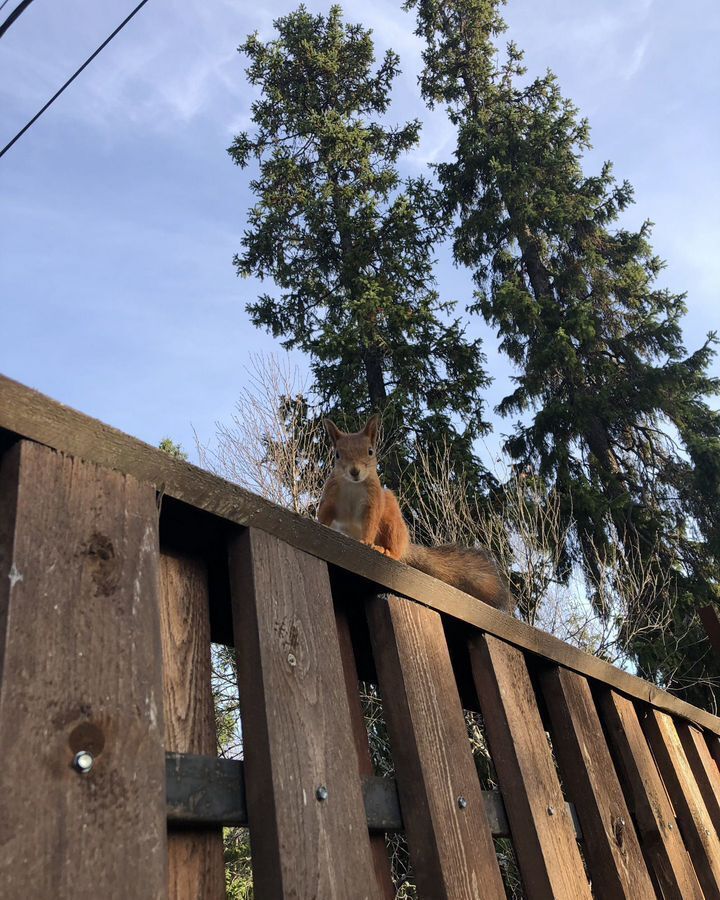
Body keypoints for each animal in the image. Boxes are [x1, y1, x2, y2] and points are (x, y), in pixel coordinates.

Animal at [316, 414, 512, 612]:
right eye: (337, 454)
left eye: (370, 451)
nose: (354, 471)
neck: (353, 485)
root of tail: (405, 545)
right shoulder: (330, 497)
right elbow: (324, 515)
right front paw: (319, 524)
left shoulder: (374, 501)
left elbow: (371, 522)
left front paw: (366, 542)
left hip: (393, 526)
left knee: (394, 549)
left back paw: (385, 550)